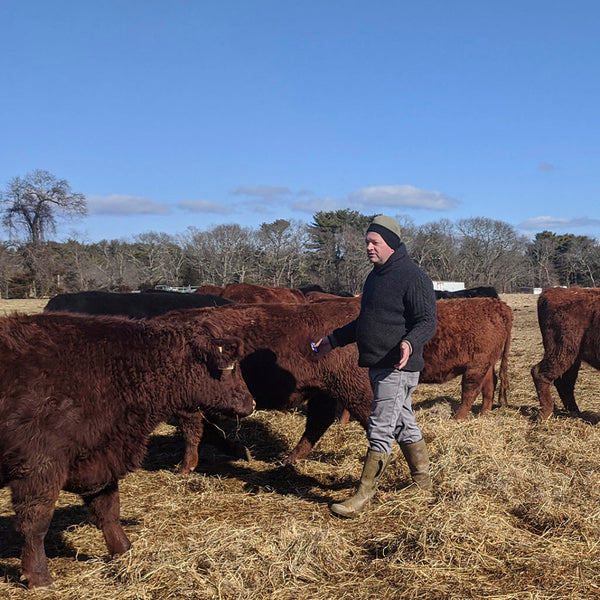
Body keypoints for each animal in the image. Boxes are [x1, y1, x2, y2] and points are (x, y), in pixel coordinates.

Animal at [0, 312, 252, 588]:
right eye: (231, 367)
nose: (251, 403)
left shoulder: (101, 461)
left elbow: (108, 510)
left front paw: (123, 550)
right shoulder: (39, 469)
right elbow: (36, 523)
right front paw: (38, 576)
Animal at [528, 286, 600, 418]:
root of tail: (555, 290)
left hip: (573, 358)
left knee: (565, 382)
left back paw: (574, 412)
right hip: (562, 352)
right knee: (539, 373)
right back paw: (545, 413)